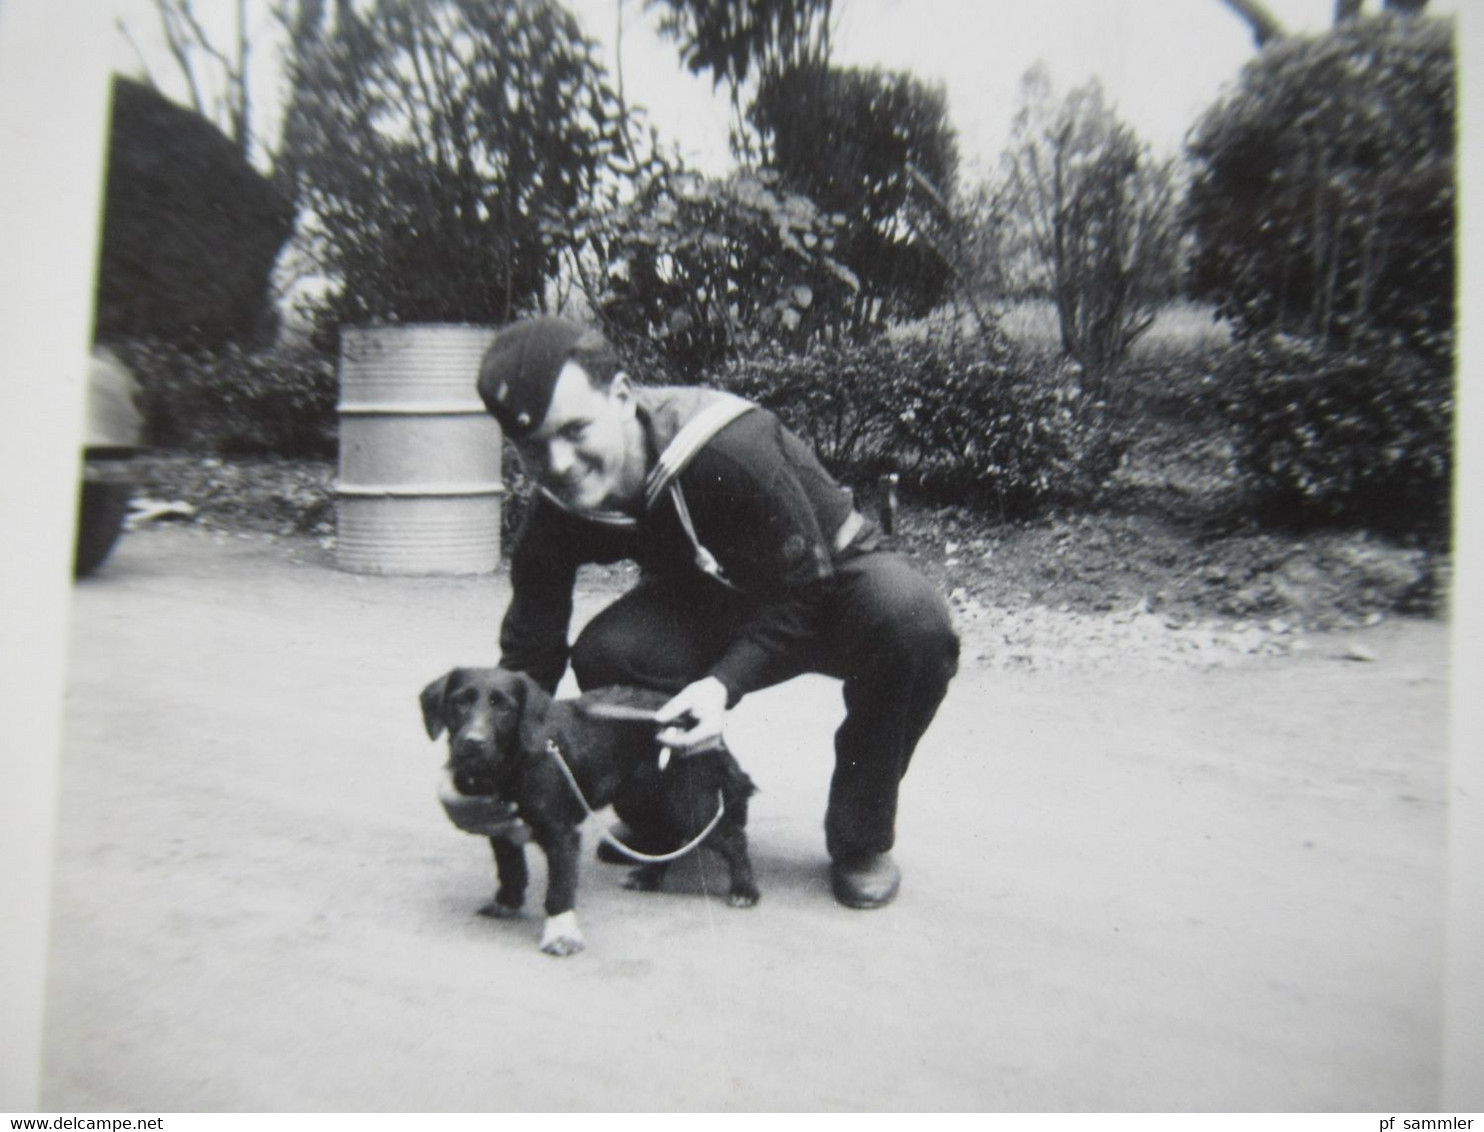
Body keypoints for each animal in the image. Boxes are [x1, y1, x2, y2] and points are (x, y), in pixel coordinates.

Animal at [421, 667, 759, 949]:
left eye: (503, 706)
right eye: (459, 702)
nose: (472, 743)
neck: (513, 764)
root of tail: (689, 718)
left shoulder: (561, 834)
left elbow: (559, 889)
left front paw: (561, 934)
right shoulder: (498, 824)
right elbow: (510, 868)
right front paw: (507, 901)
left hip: (687, 802)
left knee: (732, 838)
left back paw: (744, 890)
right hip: (639, 801)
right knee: (666, 839)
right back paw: (647, 878)